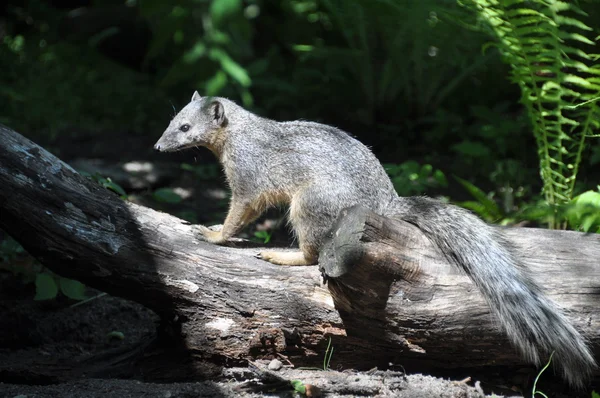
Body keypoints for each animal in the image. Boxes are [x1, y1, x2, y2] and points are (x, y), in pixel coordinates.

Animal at [155, 91, 596, 388]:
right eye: (172, 119)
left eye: (185, 127)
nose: (157, 146)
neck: (240, 134)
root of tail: (386, 203)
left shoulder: (249, 181)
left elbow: (238, 215)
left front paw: (213, 234)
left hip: (309, 204)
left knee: (313, 252)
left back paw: (283, 256)